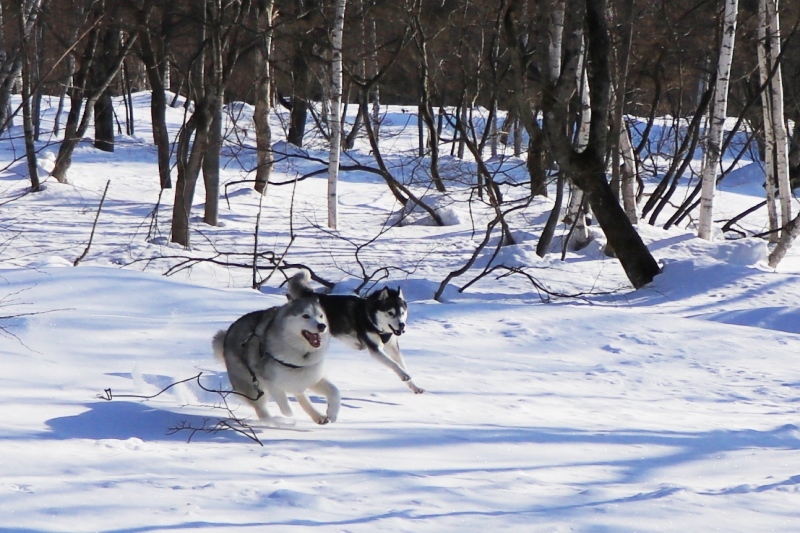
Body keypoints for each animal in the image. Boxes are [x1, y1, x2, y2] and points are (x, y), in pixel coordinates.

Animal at [211, 296, 340, 424]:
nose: (322, 326)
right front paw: (290, 410)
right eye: (305, 316)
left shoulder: (310, 376)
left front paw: (332, 414)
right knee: (261, 408)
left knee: (300, 394)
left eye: (321, 316)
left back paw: (318, 416)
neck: (301, 354)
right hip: (251, 385)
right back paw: (272, 421)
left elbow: (335, 391)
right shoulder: (269, 380)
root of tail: (226, 336)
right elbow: (284, 403)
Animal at [288, 270, 424, 390]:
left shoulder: (393, 347)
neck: (371, 318)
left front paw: (414, 386)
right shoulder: (376, 349)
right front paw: (404, 375)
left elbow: (402, 364)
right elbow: (393, 364)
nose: (401, 325)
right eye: (390, 313)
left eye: (402, 313)